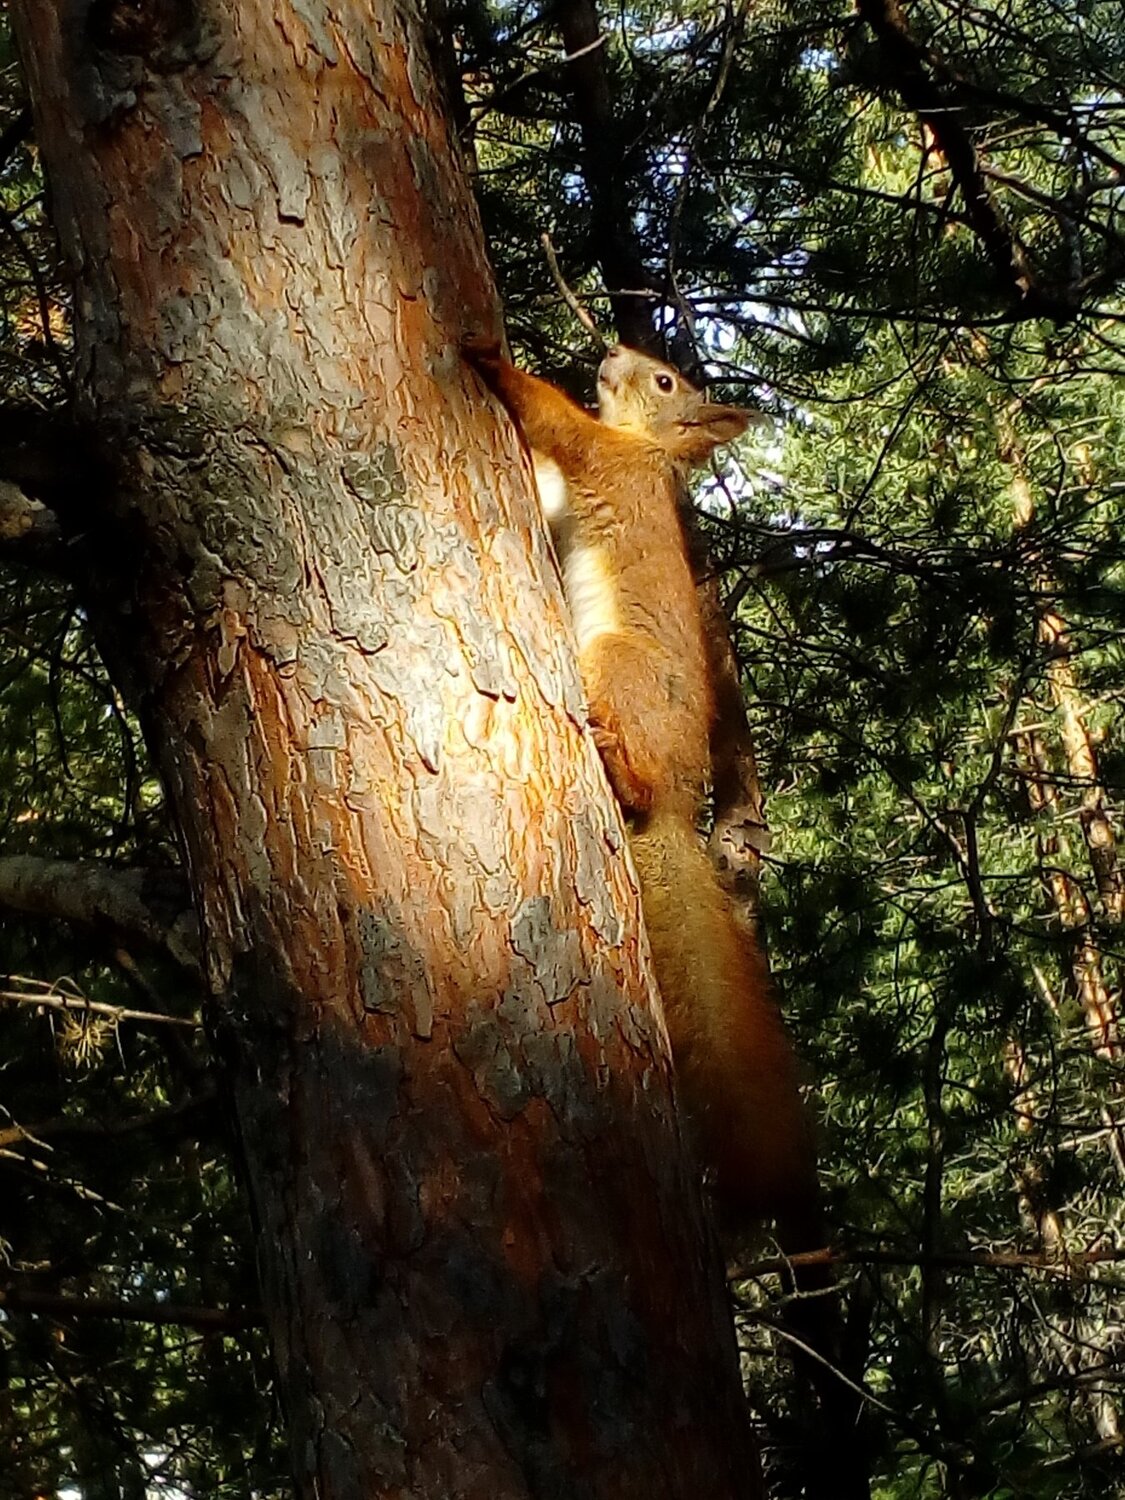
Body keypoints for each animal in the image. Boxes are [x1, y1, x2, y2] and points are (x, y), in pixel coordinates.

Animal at [462, 337, 819, 1241]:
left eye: (662, 380)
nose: (612, 349)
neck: (647, 448)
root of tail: (676, 809)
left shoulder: (606, 461)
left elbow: (557, 423)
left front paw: (492, 361)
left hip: (617, 663)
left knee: (633, 762)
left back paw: (611, 755)